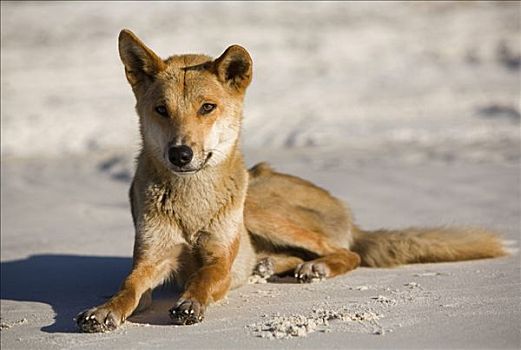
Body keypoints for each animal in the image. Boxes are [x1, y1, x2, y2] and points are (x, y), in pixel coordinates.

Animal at [76, 29, 504, 330]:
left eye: (207, 108)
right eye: (162, 110)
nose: (180, 154)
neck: (191, 202)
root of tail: (348, 215)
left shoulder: (220, 257)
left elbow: (204, 278)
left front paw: (191, 301)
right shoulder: (152, 259)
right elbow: (129, 288)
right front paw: (103, 310)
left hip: (260, 208)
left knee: (348, 252)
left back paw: (316, 267)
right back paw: (272, 266)